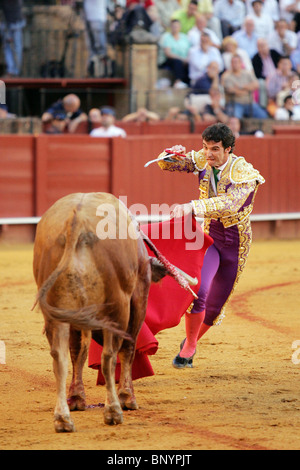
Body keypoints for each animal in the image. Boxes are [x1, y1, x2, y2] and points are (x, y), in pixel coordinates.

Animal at [31, 192, 193, 434]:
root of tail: (76, 222)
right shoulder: (138, 299)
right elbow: (128, 348)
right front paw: (128, 397)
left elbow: (78, 352)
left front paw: (77, 398)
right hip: (117, 307)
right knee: (110, 355)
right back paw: (114, 411)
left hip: (56, 312)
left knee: (59, 357)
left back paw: (63, 419)